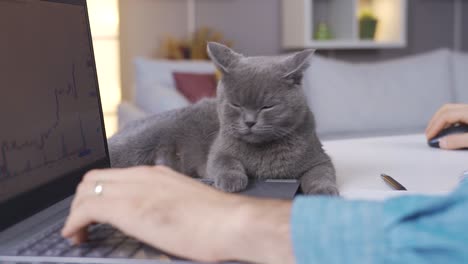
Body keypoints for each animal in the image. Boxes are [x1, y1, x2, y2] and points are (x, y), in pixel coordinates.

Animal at [108, 43, 338, 195]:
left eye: (267, 106)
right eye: (236, 104)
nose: (250, 122)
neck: (262, 154)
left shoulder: (319, 158)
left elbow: (322, 174)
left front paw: (324, 193)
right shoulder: (218, 150)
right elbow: (224, 161)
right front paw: (232, 181)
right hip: (139, 142)